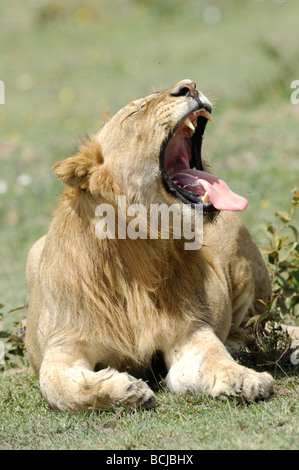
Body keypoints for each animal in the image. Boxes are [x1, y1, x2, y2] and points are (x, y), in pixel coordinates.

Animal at [25, 80, 274, 412]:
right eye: (137, 110)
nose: (190, 86)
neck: (137, 249)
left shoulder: (189, 331)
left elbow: (215, 357)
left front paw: (245, 379)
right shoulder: (63, 344)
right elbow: (58, 386)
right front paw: (125, 390)